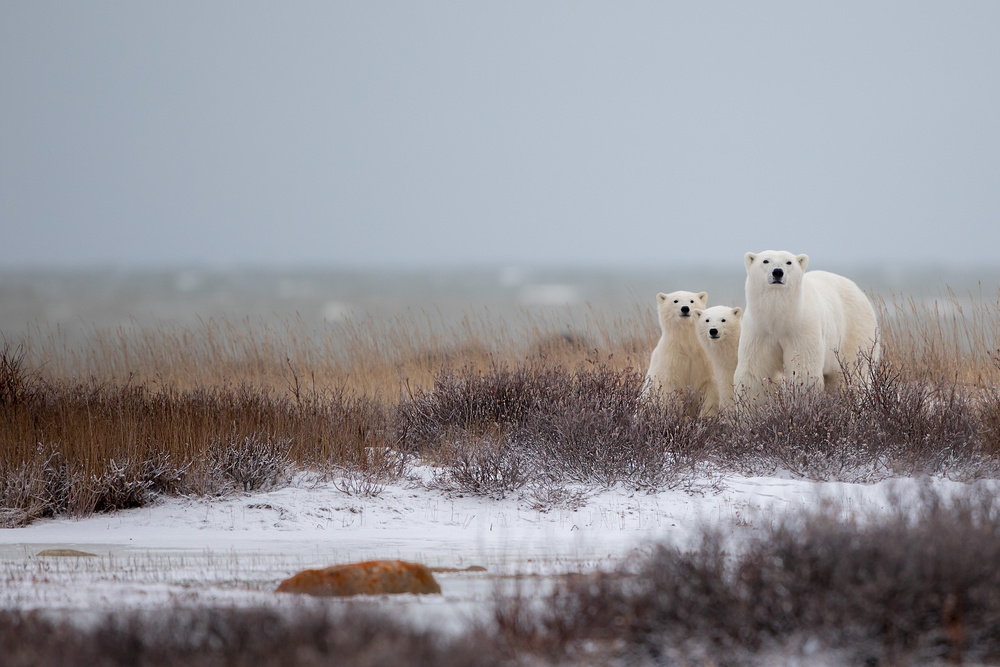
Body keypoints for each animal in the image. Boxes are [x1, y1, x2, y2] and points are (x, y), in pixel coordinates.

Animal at [732, 250, 880, 404]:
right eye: (765, 261)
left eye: (789, 262)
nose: (778, 272)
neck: (779, 319)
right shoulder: (759, 330)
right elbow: (755, 371)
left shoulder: (802, 328)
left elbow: (803, 371)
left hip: (855, 331)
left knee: (854, 373)